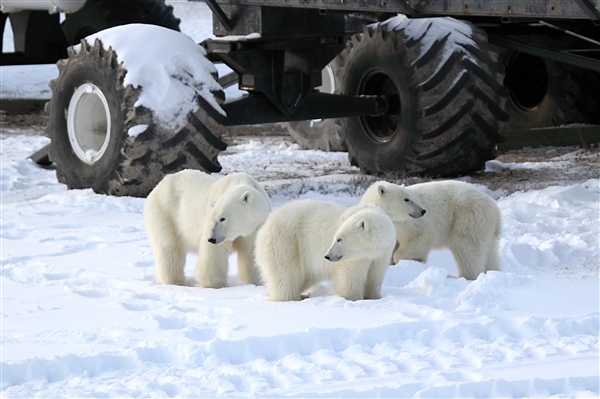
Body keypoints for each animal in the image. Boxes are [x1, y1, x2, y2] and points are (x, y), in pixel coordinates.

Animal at [254, 202, 400, 302]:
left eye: (339, 239)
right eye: (335, 237)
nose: (327, 256)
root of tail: (265, 226)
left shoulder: (383, 252)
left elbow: (376, 275)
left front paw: (375, 297)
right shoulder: (355, 258)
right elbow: (350, 276)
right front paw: (353, 298)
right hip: (286, 241)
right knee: (287, 275)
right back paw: (292, 298)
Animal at [360, 181, 502, 282]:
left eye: (410, 197)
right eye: (406, 199)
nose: (423, 211)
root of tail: (494, 207)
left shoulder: (406, 223)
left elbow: (418, 237)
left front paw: (414, 261)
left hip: (467, 215)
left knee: (466, 246)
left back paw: (461, 276)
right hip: (484, 225)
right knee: (489, 252)